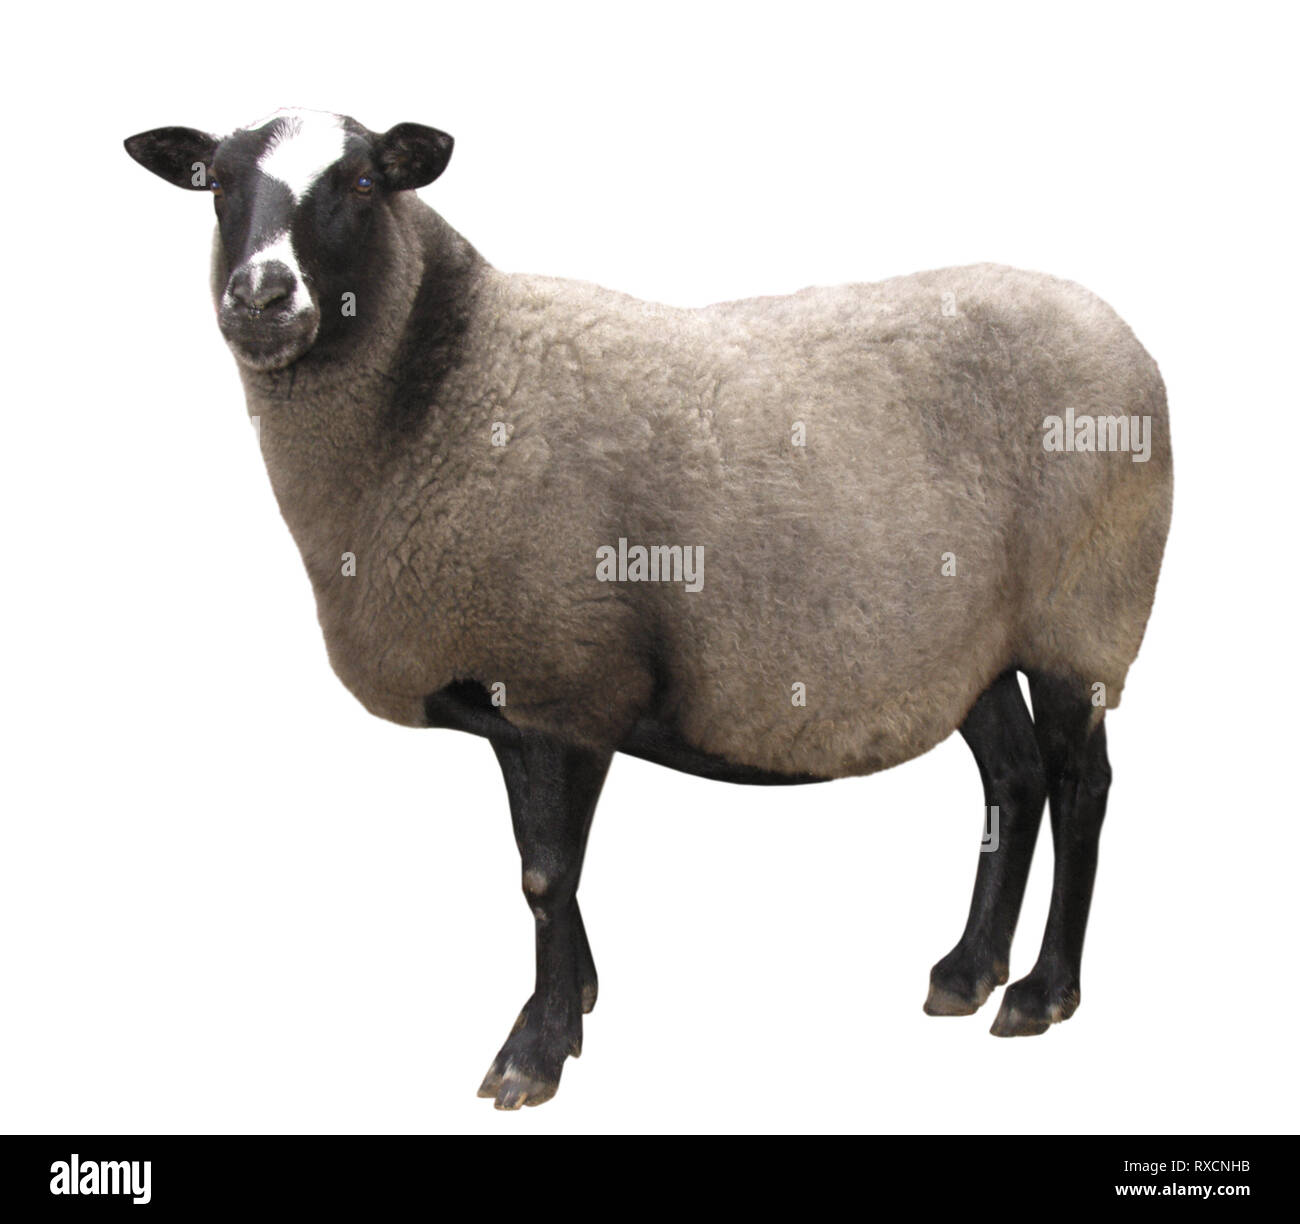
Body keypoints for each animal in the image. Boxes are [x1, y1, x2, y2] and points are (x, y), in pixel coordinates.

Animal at [124, 107, 1173, 1109]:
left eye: (365, 181)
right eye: (216, 182)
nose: (262, 298)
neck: (448, 382)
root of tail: (1120, 332)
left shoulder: (568, 679)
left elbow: (546, 875)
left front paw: (534, 1054)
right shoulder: (523, 696)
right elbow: (541, 871)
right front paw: (575, 1000)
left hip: (1085, 616)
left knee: (1081, 787)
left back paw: (1042, 993)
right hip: (973, 642)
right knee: (1014, 780)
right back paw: (967, 971)